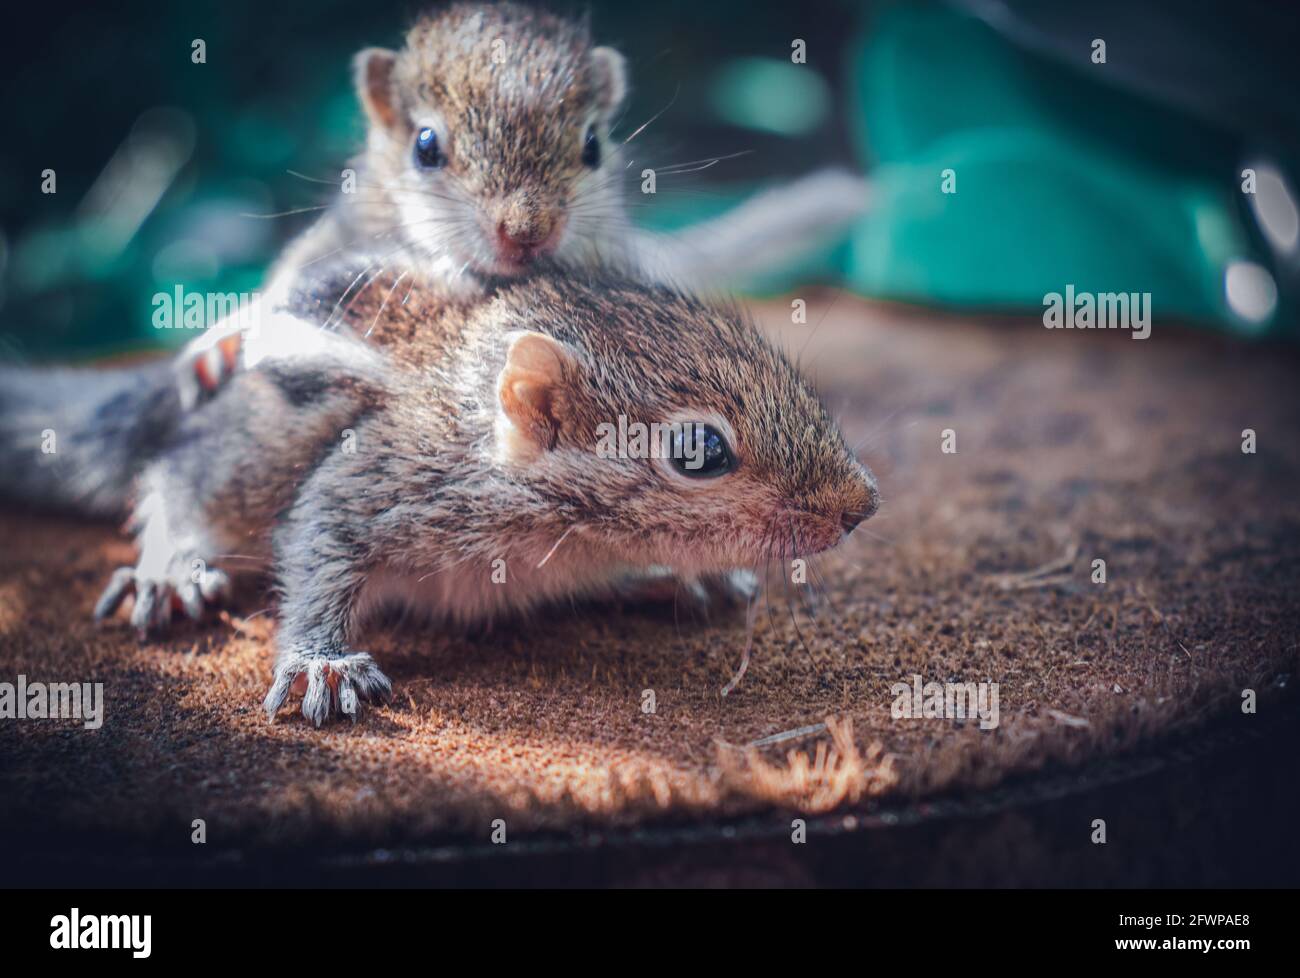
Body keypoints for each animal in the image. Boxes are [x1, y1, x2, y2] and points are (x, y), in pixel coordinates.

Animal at [0, 259, 879, 725]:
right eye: (701, 450)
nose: (861, 504)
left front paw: (690, 575)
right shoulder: (383, 482)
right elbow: (318, 547)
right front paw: (321, 664)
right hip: (246, 459)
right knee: (174, 485)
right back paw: (169, 569)